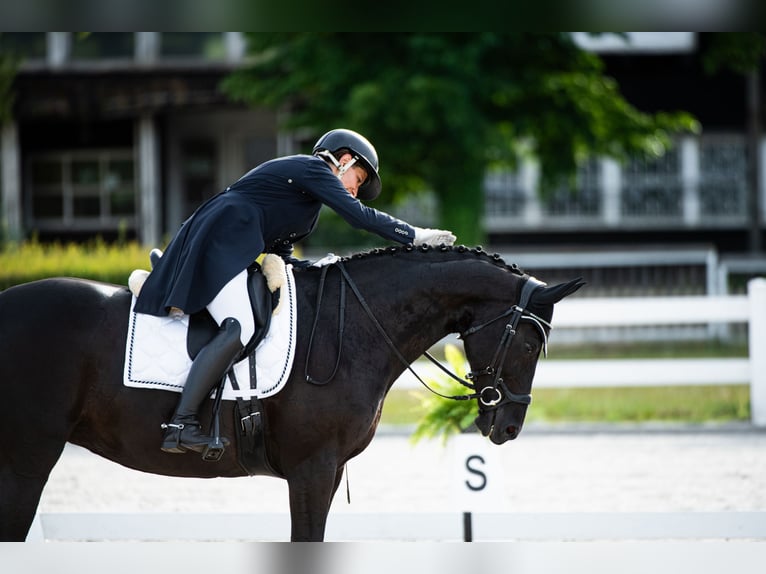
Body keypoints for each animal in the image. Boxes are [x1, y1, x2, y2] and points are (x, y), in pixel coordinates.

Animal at [0, 245, 584, 544]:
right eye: (529, 343)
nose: (507, 427)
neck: (353, 327)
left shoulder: (327, 470)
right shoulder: (312, 468)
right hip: (27, 460)